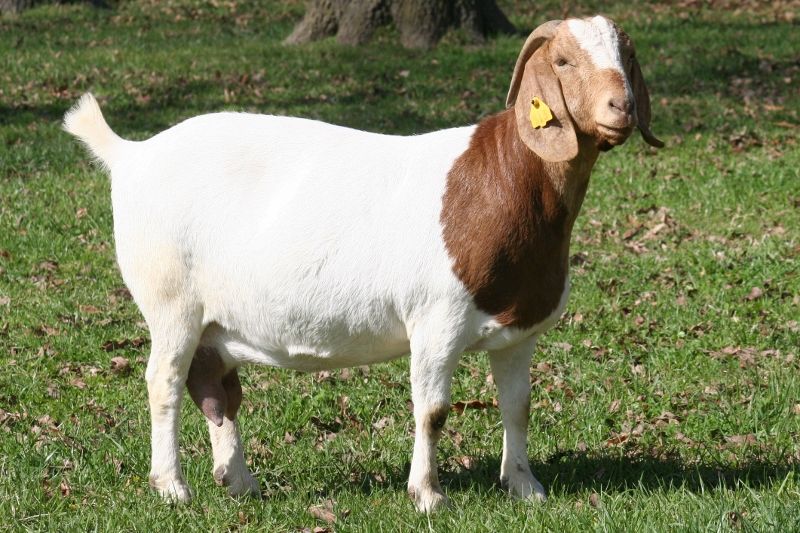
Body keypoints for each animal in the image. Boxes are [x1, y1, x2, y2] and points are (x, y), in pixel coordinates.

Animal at [64, 16, 662, 512]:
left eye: (629, 57)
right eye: (562, 61)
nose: (622, 107)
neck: (503, 178)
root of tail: (132, 154)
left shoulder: (518, 332)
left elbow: (517, 406)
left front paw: (525, 487)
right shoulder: (436, 321)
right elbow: (433, 410)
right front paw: (428, 496)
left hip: (213, 318)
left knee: (214, 386)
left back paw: (239, 481)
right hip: (171, 301)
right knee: (163, 381)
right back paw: (173, 487)